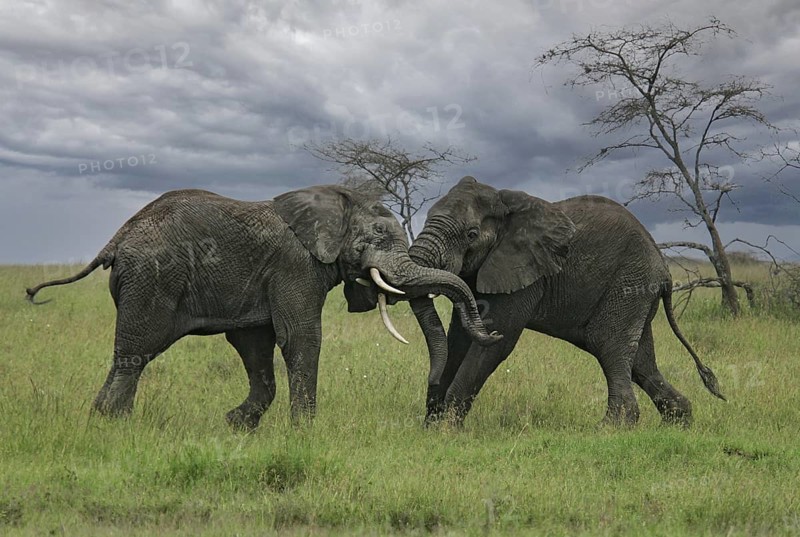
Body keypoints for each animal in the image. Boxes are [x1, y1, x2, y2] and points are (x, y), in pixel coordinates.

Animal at [27, 185, 500, 430]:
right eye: (379, 238)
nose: (491, 332)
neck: (333, 199)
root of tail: (118, 236)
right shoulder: (296, 265)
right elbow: (301, 338)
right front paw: (304, 432)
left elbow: (254, 345)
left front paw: (235, 424)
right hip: (152, 278)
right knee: (137, 350)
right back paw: (115, 424)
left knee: (129, 353)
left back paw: (99, 419)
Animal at [408, 176, 725, 428]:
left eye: (471, 234)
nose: (431, 380)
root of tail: (664, 268)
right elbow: (459, 337)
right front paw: (432, 427)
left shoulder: (528, 273)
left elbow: (498, 342)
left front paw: (446, 431)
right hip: (636, 293)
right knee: (639, 360)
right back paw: (679, 422)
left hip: (629, 283)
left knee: (608, 344)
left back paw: (611, 429)